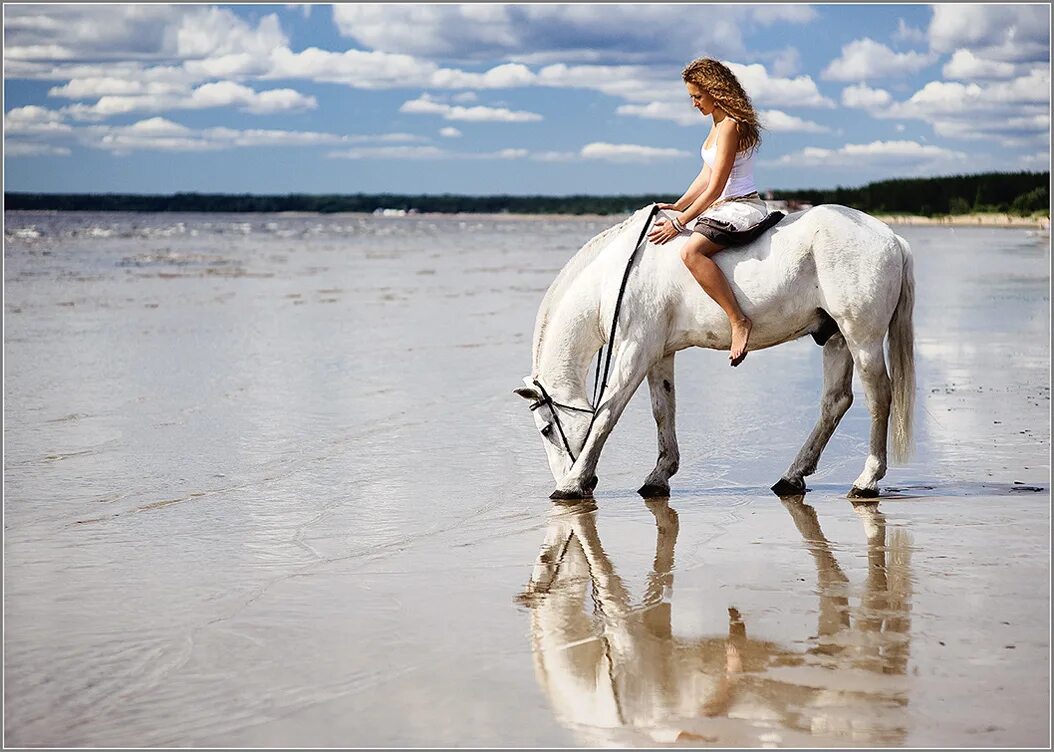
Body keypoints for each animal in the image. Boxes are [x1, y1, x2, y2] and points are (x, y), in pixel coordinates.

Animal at [514, 205, 910, 497]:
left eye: (546, 429)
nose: (567, 476)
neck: (619, 273)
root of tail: (892, 237)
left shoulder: (635, 349)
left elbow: (606, 414)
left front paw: (572, 483)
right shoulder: (658, 353)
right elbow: (663, 411)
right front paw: (659, 476)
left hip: (862, 337)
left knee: (879, 396)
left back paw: (867, 480)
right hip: (836, 337)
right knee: (835, 402)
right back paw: (792, 477)